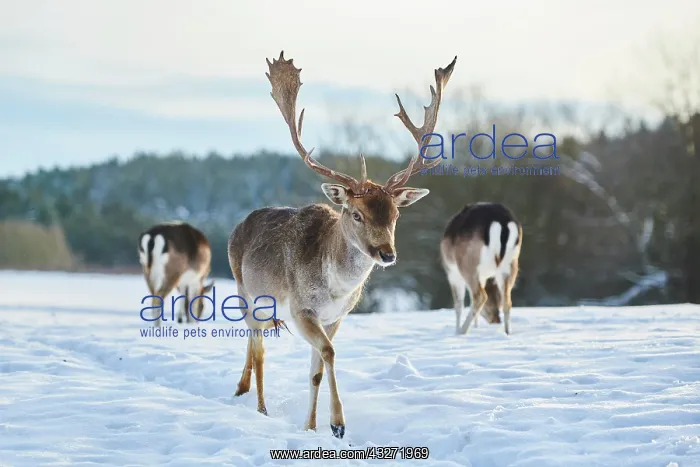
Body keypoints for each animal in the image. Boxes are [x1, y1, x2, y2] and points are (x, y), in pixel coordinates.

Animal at [226, 51, 457, 439]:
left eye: (396, 213)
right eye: (356, 213)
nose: (387, 253)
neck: (335, 289)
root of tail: (237, 227)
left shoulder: (336, 317)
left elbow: (317, 369)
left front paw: (311, 427)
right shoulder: (301, 310)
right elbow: (330, 353)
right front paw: (337, 424)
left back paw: (241, 391)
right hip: (247, 292)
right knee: (259, 349)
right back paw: (260, 408)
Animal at [440, 202, 522, 336]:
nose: (495, 319)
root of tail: (502, 222)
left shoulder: (452, 274)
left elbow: (458, 304)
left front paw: (456, 331)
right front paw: (476, 327)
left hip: (468, 265)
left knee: (480, 296)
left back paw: (462, 331)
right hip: (510, 264)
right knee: (507, 301)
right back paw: (507, 332)